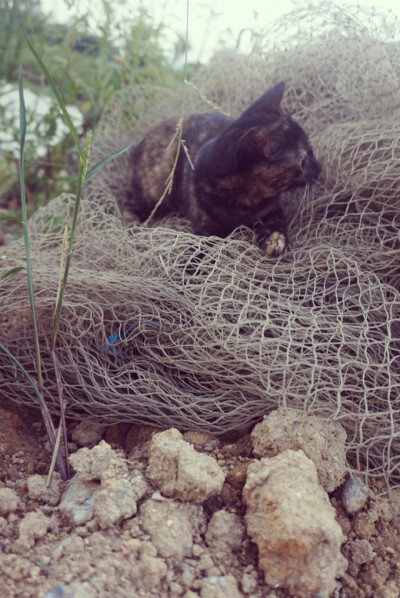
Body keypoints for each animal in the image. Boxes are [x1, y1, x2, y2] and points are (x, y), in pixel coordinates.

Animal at [126, 81, 320, 255]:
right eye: (304, 160)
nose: (320, 168)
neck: (245, 200)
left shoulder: (272, 209)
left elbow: (277, 221)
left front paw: (275, 240)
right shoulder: (204, 232)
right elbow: (197, 253)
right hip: (154, 190)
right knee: (128, 203)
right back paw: (132, 225)